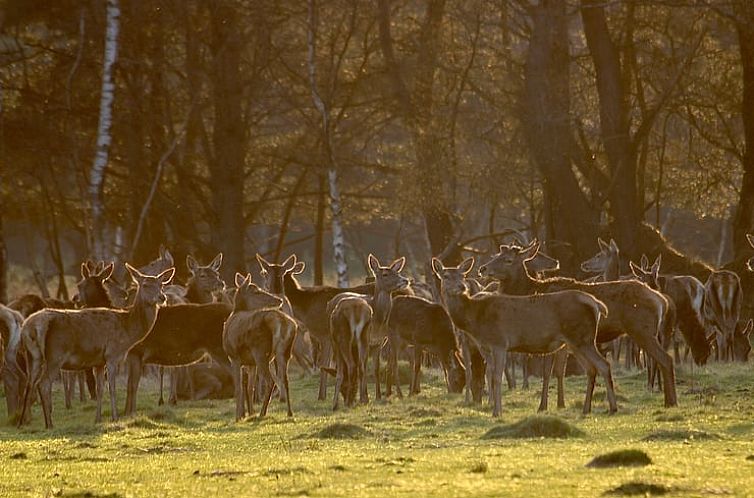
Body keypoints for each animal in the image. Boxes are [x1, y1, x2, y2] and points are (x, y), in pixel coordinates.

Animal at [18, 264, 174, 428]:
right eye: (145, 285)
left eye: (161, 285)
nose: (162, 297)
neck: (127, 332)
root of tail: (30, 326)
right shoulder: (112, 355)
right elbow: (112, 387)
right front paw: (115, 418)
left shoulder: (99, 361)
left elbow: (100, 389)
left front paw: (97, 419)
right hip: (55, 354)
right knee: (43, 383)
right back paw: (49, 423)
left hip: (32, 356)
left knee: (29, 383)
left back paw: (22, 422)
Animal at [222, 274, 296, 418]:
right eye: (256, 291)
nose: (278, 299)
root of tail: (282, 322)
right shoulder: (251, 363)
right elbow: (250, 388)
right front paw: (250, 413)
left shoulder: (234, 356)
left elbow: (239, 388)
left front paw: (239, 416)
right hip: (285, 351)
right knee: (285, 379)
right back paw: (289, 412)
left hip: (260, 351)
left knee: (270, 381)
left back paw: (262, 412)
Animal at [432, 256, 612, 416]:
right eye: (446, 276)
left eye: (462, 275)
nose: (461, 286)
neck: (476, 318)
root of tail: (597, 304)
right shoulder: (485, 346)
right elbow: (490, 374)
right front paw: (494, 407)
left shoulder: (499, 342)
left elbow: (497, 377)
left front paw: (497, 412)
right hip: (575, 342)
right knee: (591, 369)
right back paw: (587, 409)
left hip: (583, 338)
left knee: (603, 364)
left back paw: (612, 407)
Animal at [482, 240, 676, 408]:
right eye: (497, 254)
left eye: (508, 260)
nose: (483, 268)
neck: (531, 291)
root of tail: (661, 300)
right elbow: (556, 371)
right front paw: (558, 404)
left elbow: (549, 372)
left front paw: (544, 406)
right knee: (663, 359)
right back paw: (669, 400)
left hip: (641, 330)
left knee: (664, 359)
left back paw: (670, 401)